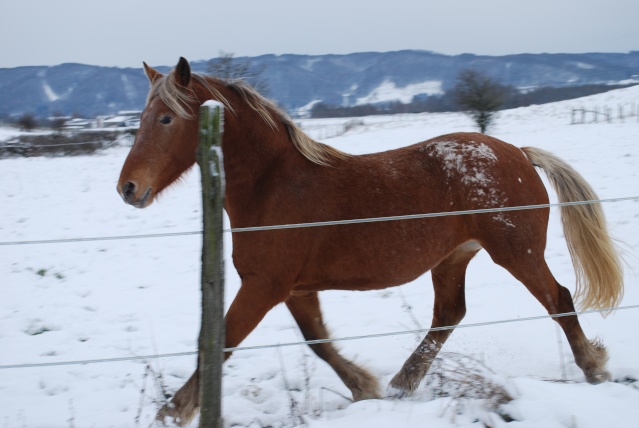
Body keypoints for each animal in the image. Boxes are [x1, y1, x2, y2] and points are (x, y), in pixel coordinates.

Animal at [116, 56, 624, 424]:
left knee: (558, 299)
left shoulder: (264, 285)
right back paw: (402, 383)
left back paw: (594, 367)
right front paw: (365, 387)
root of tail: (518, 152)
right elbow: (317, 341)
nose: (128, 188)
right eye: (142, 117)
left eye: (165, 118)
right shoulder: (296, 289)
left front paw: (173, 411)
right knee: (448, 315)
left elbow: (221, 341)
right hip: (452, 258)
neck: (273, 183)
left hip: (516, 252)